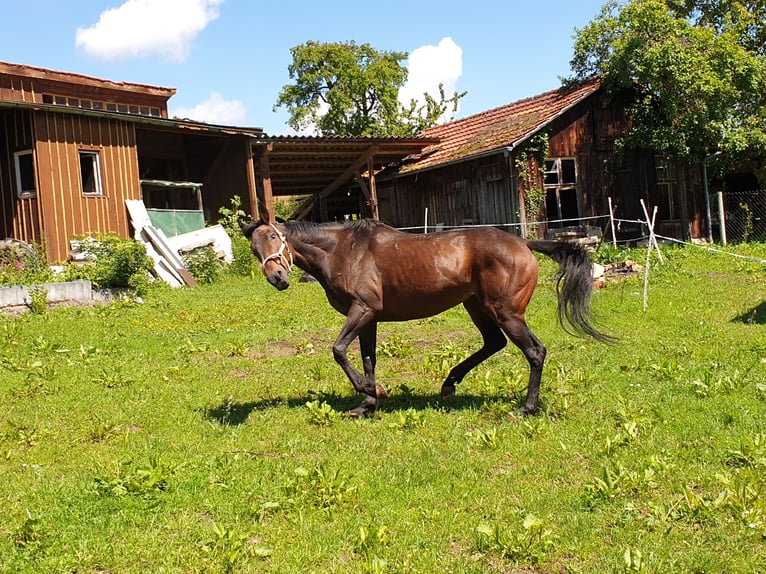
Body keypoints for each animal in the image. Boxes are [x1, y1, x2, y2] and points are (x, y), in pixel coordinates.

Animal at [246, 212, 612, 418]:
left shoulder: (363, 309)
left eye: (275, 236)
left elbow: (337, 350)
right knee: (495, 343)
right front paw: (368, 402)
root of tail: (524, 244)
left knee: (535, 351)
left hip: (505, 311)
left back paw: (526, 408)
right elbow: (367, 359)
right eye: (253, 248)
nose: (277, 277)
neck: (342, 250)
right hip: (478, 306)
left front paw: (371, 392)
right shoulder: (370, 317)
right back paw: (450, 383)